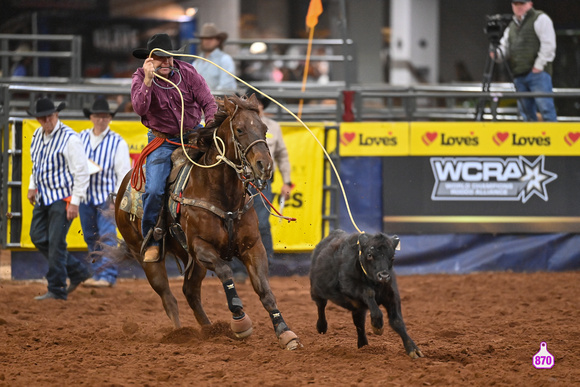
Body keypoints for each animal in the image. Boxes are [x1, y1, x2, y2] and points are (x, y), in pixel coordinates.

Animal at [115, 94, 302, 352]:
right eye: (240, 129)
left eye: (264, 129)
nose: (264, 166)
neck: (222, 195)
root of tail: (124, 186)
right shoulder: (201, 246)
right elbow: (225, 271)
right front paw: (239, 319)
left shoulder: (252, 247)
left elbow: (264, 289)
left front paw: (284, 331)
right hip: (145, 255)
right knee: (168, 296)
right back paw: (180, 333)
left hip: (190, 259)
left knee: (190, 291)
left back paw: (209, 330)